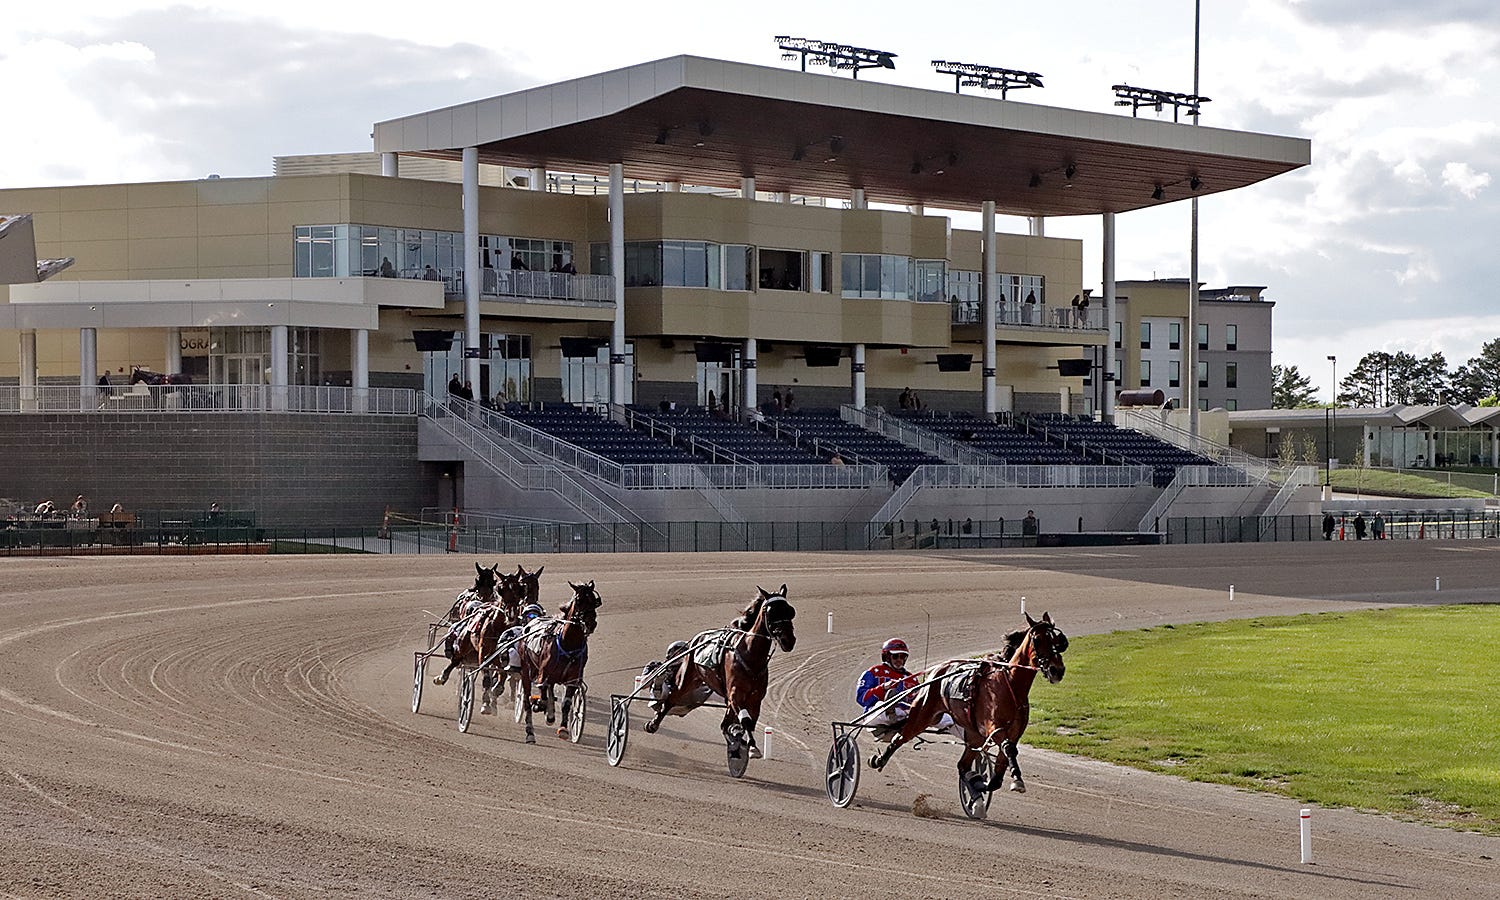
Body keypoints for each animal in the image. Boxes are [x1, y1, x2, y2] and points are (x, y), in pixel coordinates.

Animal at [516, 579, 597, 741]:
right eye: (579, 600)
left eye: (595, 601)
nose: (591, 623)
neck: (568, 644)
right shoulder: (543, 675)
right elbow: (542, 697)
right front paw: (539, 705)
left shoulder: (573, 679)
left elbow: (566, 704)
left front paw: (563, 728)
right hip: (526, 671)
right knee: (527, 699)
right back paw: (530, 731)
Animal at [642, 585, 798, 765]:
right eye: (770, 612)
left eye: (790, 611)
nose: (788, 640)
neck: (750, 656)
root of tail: (698, 638)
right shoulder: (735, 695)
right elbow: (745, 720)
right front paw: (752, 747)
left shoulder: (755, 699)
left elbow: (748, 722)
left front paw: (746, 745)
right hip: (686, 678)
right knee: (671, 699)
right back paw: (653, 724)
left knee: (724, 724)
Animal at [870, 612, 1068, 792]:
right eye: (1037, 639)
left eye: (1058, 641)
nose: (1057, 670)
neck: (1010, 684)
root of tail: (937, 671)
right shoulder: (993, 727)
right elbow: (1008, 748)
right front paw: (1017, 780)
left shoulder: (1012, 732)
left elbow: (1000, 771)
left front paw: (985, 782)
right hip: (922, 715)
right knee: (900, 737)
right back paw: (879, 760)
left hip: (974, 735)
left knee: (962, 765)